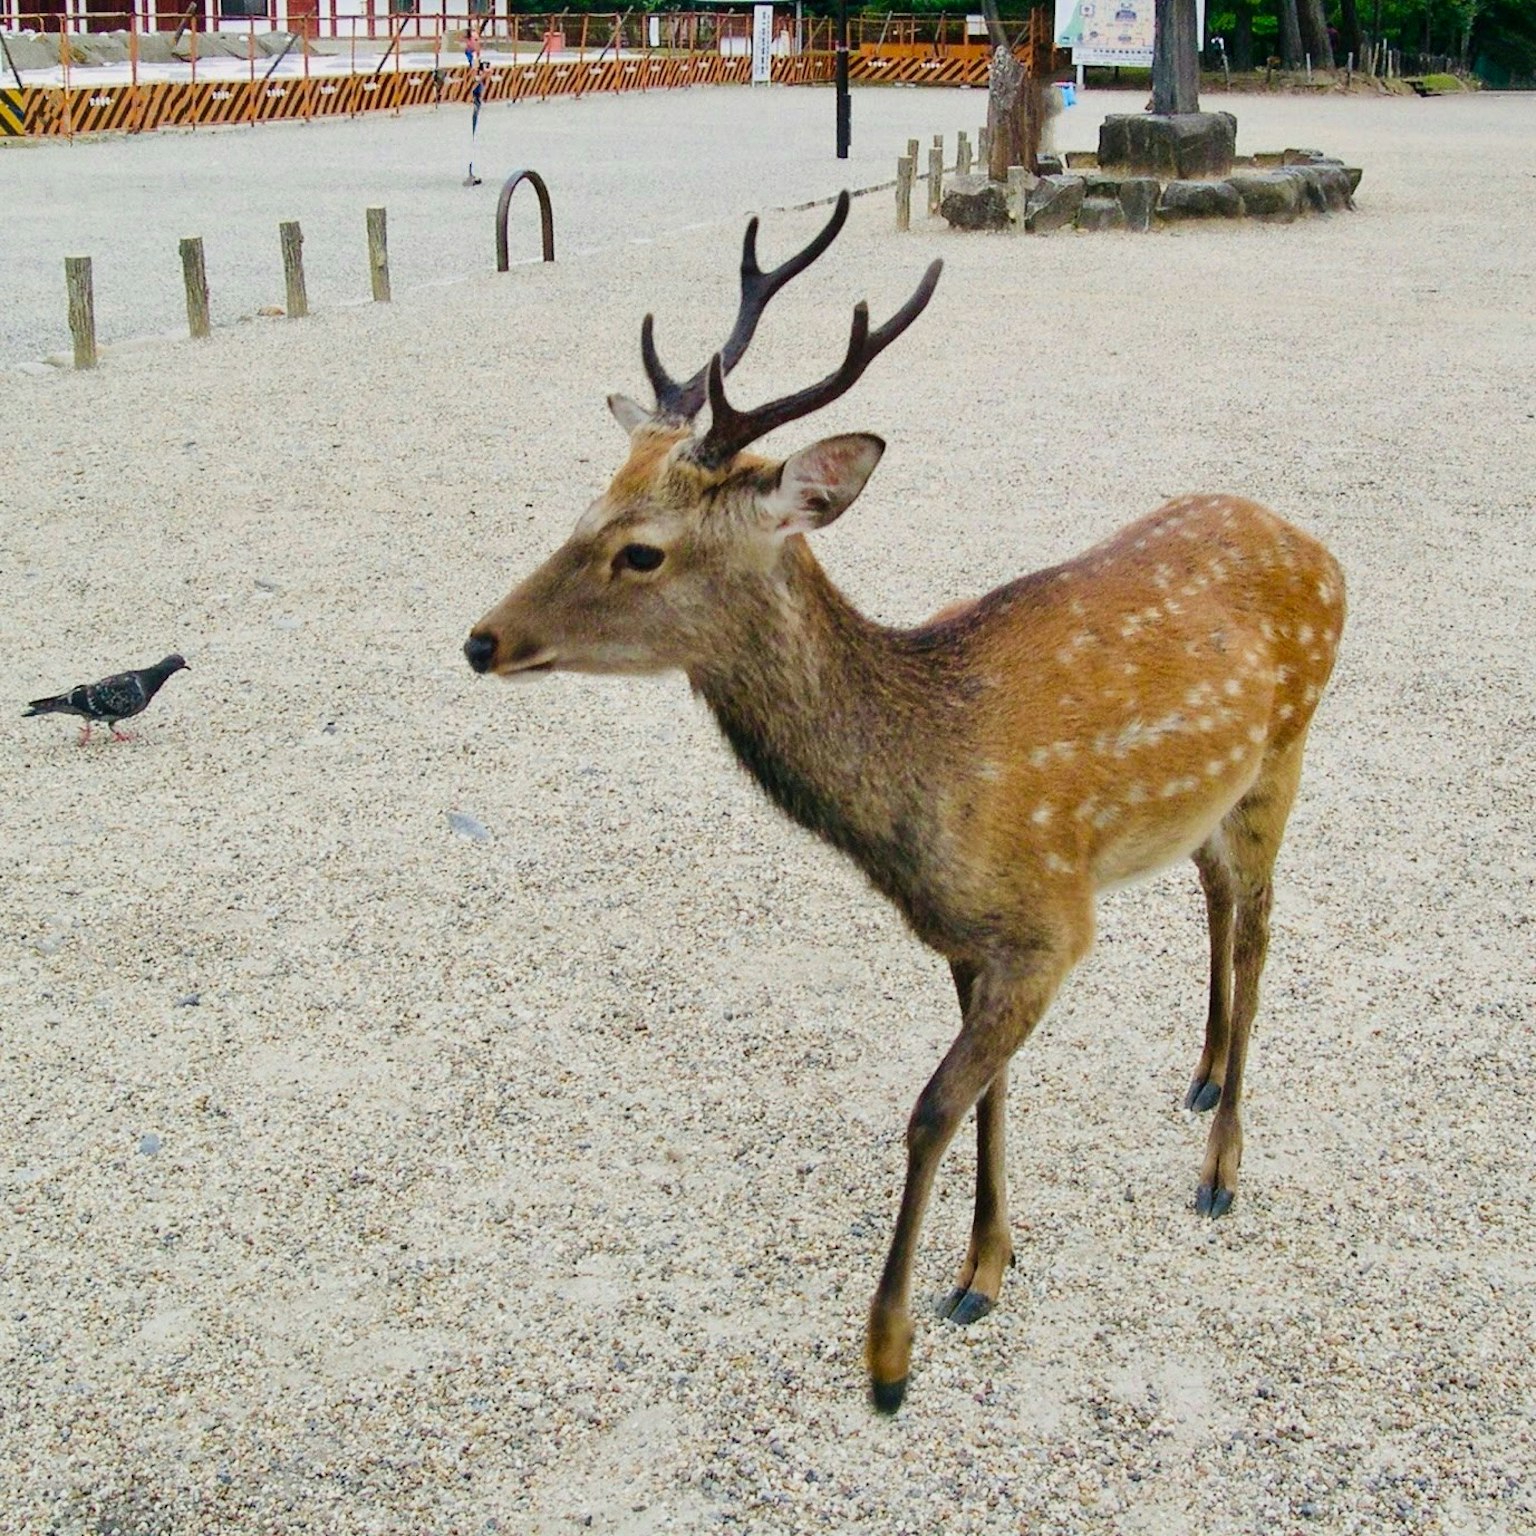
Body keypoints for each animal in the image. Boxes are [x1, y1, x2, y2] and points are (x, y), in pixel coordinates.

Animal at [463, 192, 1346, 1414]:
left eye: (641, 550)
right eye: (583, 505)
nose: (480, 640)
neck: (920, 797)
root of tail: (1326, 553)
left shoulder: (1052, 925)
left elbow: (931, 1107)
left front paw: (890, 1351)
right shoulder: (967, 940)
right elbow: (989, 1096)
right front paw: (985, 1269)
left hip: (1285, 754)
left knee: (1263, 930)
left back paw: (1220, 1171)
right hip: (1205, 802)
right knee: (1217, 901)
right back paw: (1203, 1081)